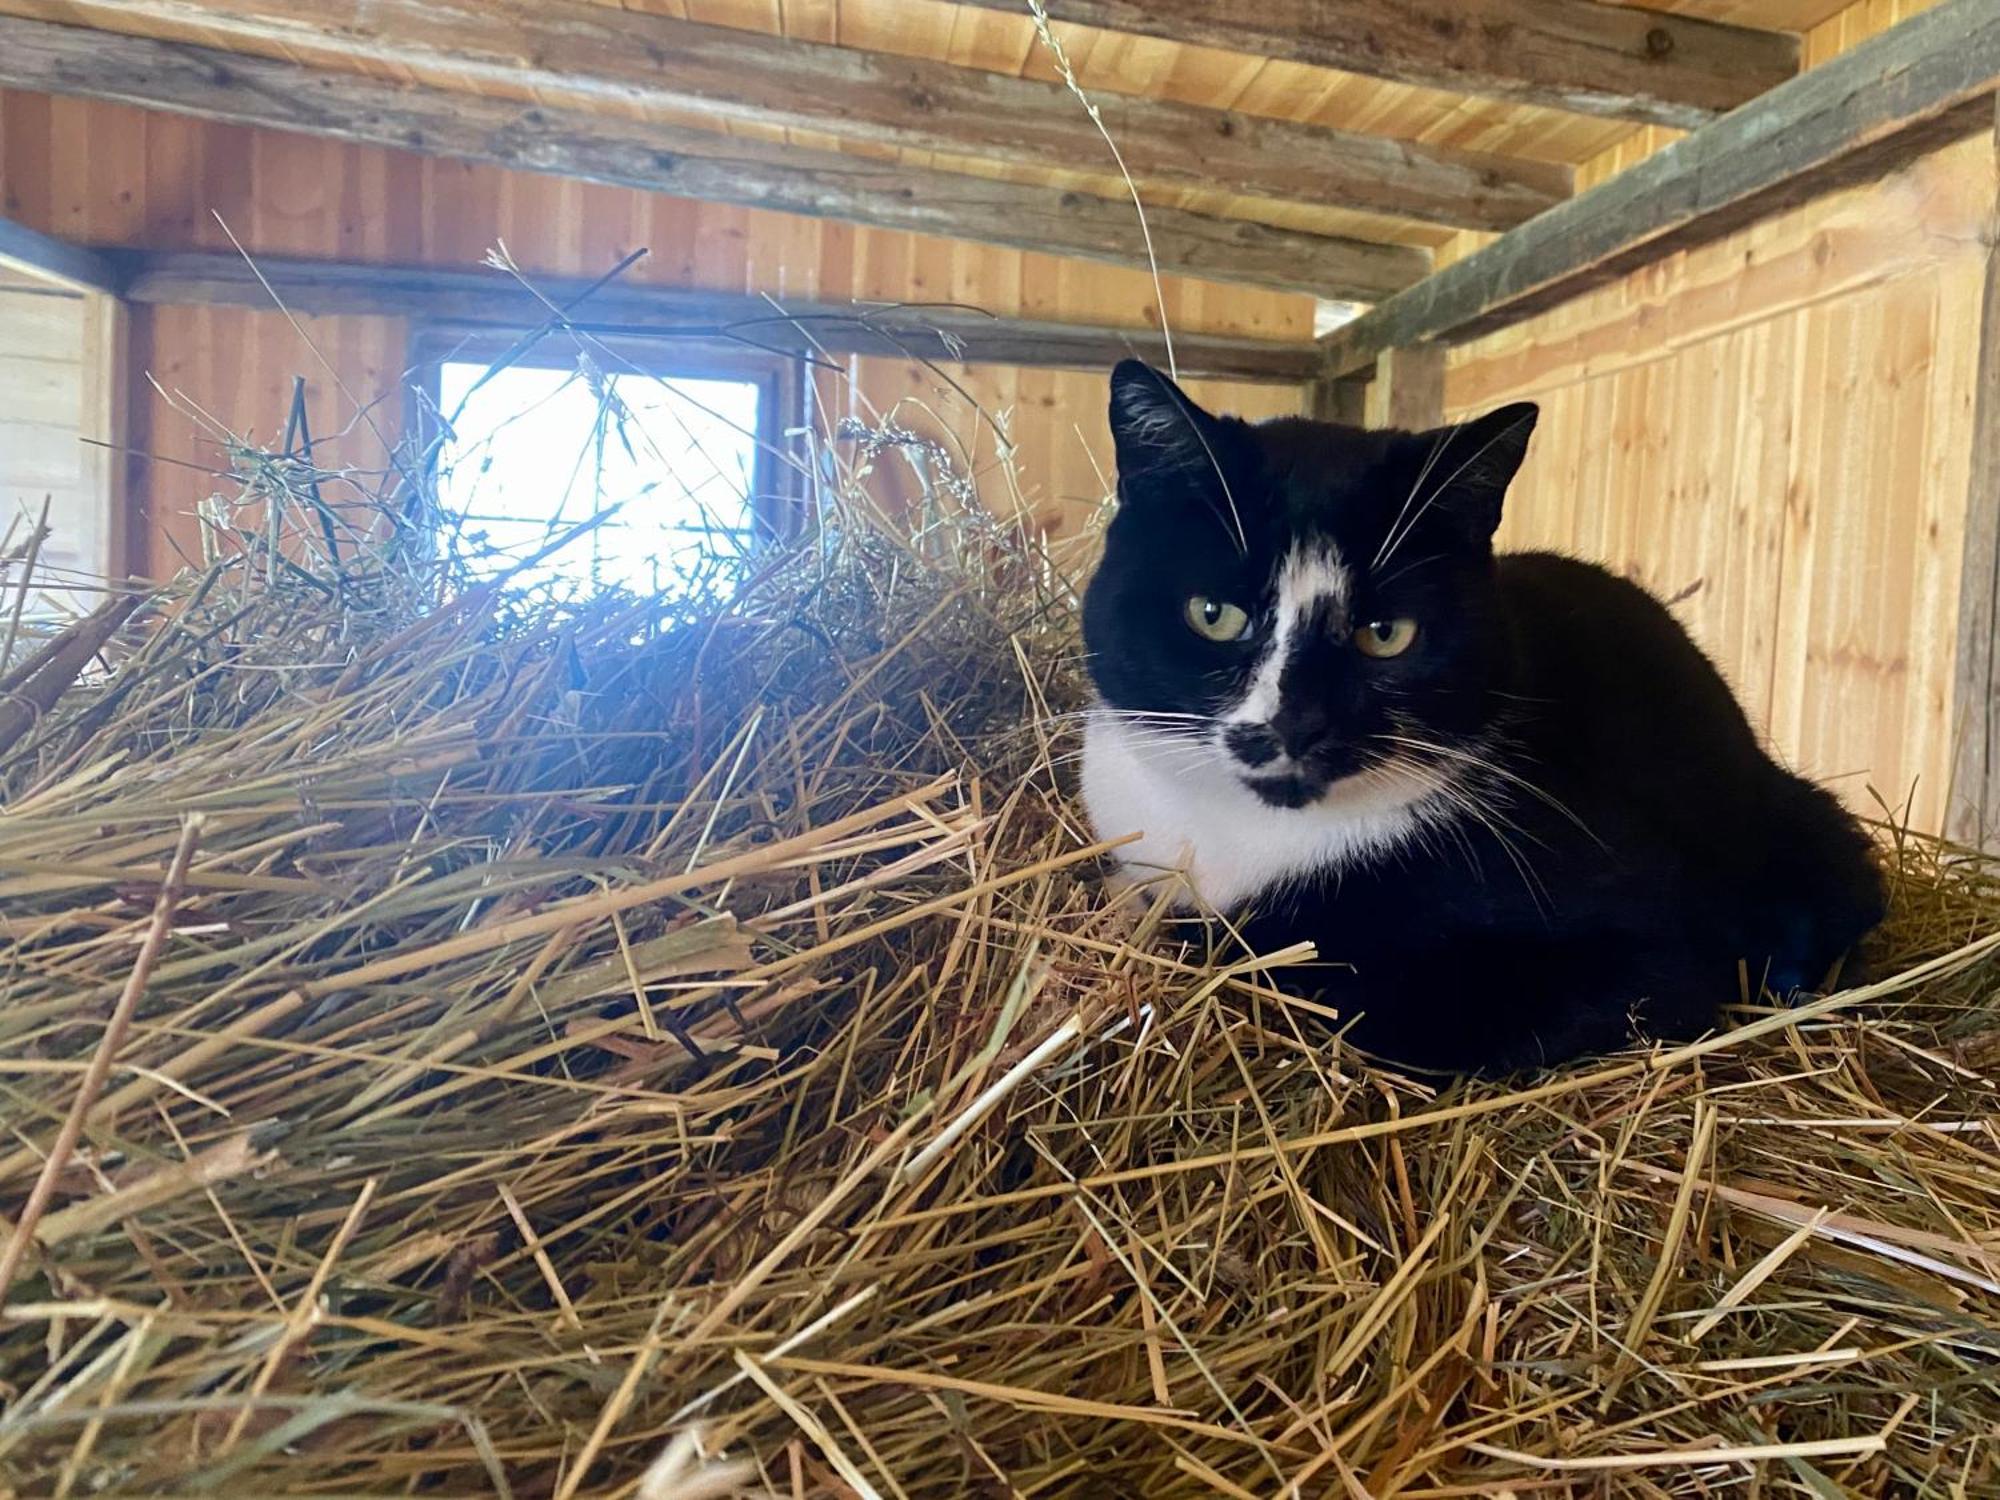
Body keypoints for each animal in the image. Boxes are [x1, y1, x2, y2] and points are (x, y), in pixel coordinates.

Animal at [1080, 358, 1872, 1072]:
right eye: (1213, 615)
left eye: (1386, 634)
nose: (1297, 723)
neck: (1243, 834)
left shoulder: (1639, 945)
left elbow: (1343, 984)